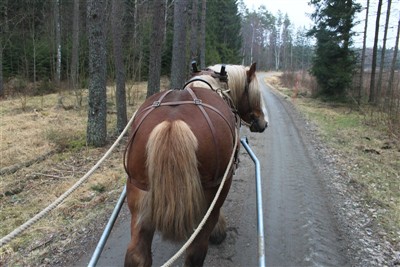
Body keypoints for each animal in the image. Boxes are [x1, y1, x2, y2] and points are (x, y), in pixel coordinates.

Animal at [123, 63, 268, 266]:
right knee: (196, 251)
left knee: (137, 255)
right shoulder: (220, 184)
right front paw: (218, 231)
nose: (263, 123)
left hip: (138, 193)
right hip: (213, 189)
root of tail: (172, 122)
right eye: (254, 93)